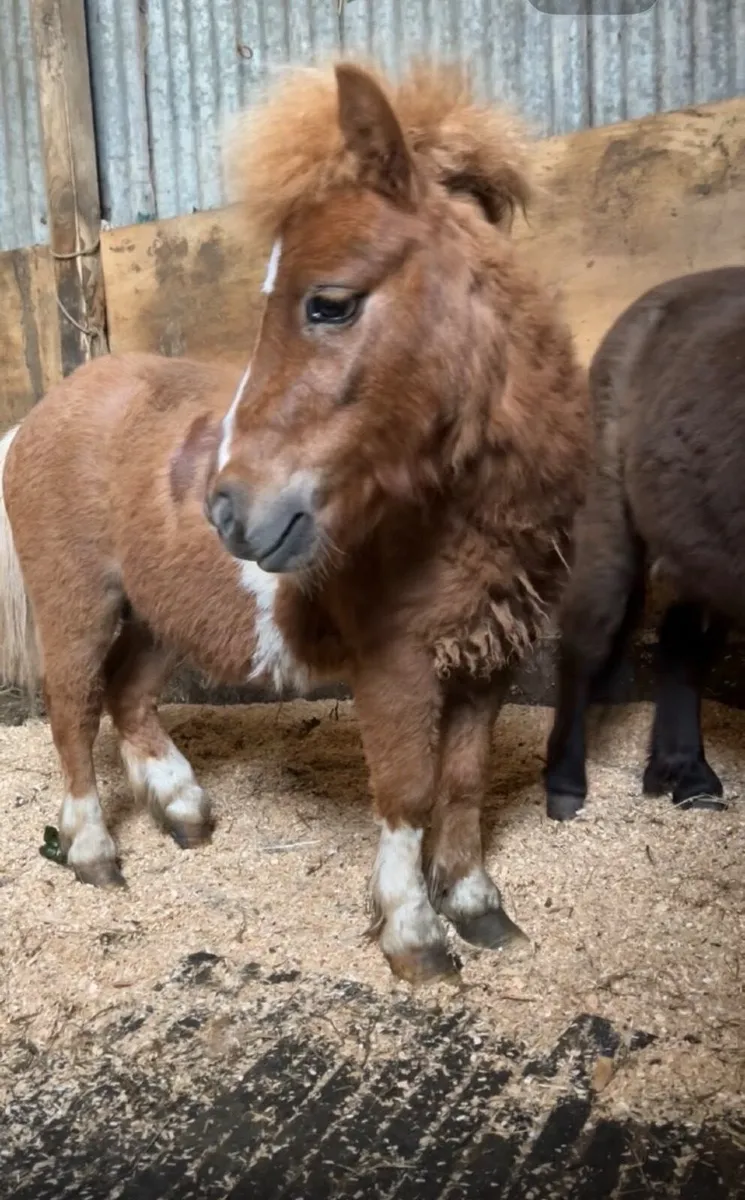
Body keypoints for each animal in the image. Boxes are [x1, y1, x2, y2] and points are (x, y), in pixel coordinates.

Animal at [1, 60, 590, 985]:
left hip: (161, 610)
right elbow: (407, 790)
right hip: (77, 604)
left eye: (329, 304)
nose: (231, 509)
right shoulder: (395, 665)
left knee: (130, 695)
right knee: (75, 709)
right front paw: (414, 936)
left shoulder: (488, 660)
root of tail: (37, 416)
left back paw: (185, 813)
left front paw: (477, 909)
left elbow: (462, 781)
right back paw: (94, 852)